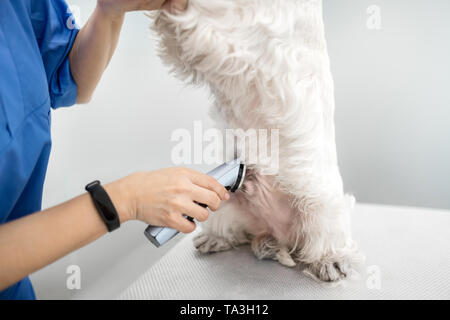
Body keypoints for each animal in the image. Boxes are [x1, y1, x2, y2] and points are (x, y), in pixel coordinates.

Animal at [151, 0, 362, 280]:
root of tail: (277, 233)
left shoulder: (243, 35)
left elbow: (206, 20)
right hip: (222, 204)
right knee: (239, 234)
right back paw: (219, 240)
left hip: (320, 210)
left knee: (324, 241)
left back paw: (331, 261)